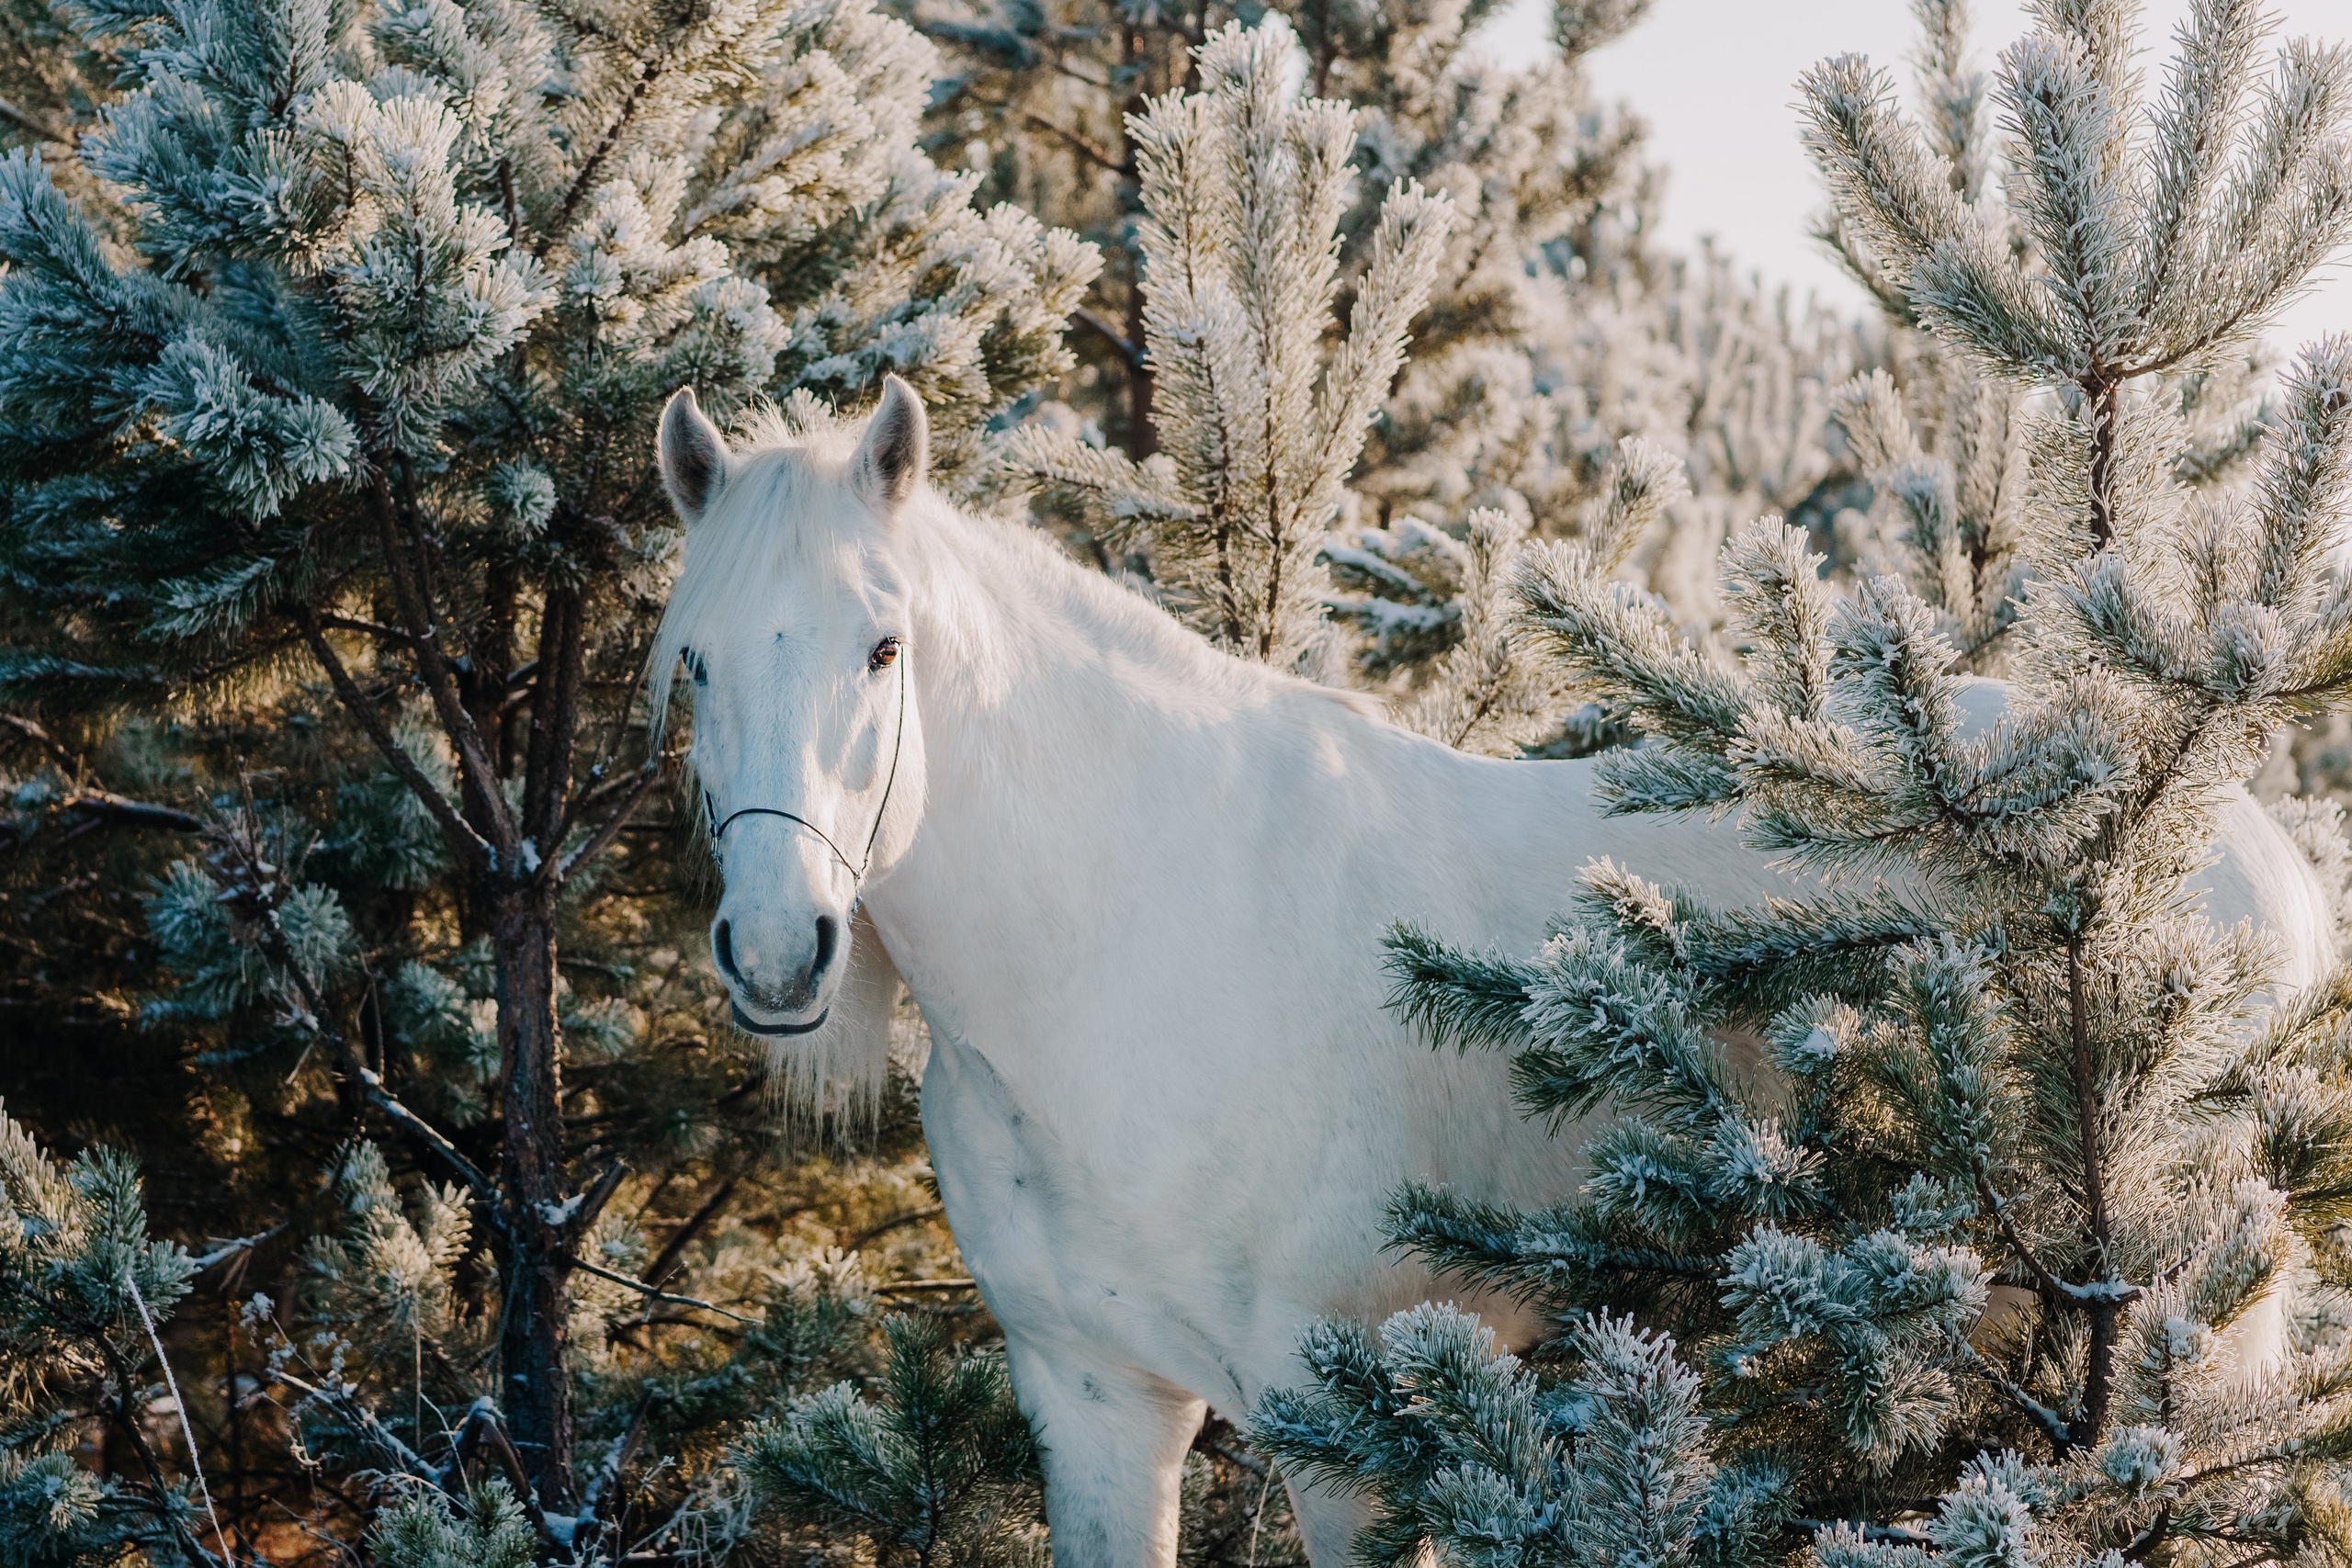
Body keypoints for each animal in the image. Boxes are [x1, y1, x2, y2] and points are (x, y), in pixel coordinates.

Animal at [649, 377, 2337, 1568]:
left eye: (882, 649)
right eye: (695, 658)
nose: (782, 948)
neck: (1125, 952)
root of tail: (2241, 834)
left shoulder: (1350, 1427)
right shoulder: (1097, 1401)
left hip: (2197, 1319)